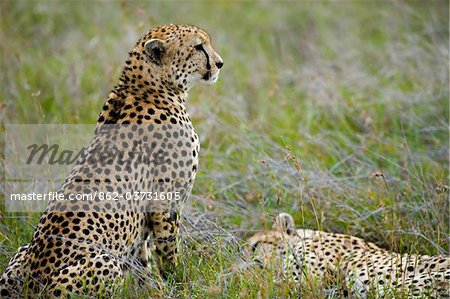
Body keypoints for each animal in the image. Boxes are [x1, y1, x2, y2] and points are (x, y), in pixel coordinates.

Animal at [0, 23, 224, 298]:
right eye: (198, 46)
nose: (220, 63)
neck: (146, 87)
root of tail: (32, 284)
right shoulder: (165, 201)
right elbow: (168, 250)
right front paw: (180, 283)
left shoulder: (140, 221)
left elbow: (142, 261)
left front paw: (152, 289)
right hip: (105, 262)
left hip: (21, 252)